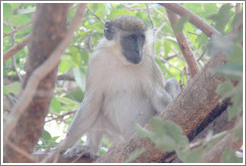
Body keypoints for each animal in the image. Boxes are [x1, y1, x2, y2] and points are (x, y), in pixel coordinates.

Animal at [58, 15, 181, 158]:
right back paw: (90, 148)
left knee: (171, 82)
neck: (119, 59)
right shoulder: (96, 60)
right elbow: (91, 104)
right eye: (131, 38)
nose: (138, 51)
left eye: (141, 38)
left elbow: (157, 95)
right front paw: (61, 147)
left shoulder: (147, 61)